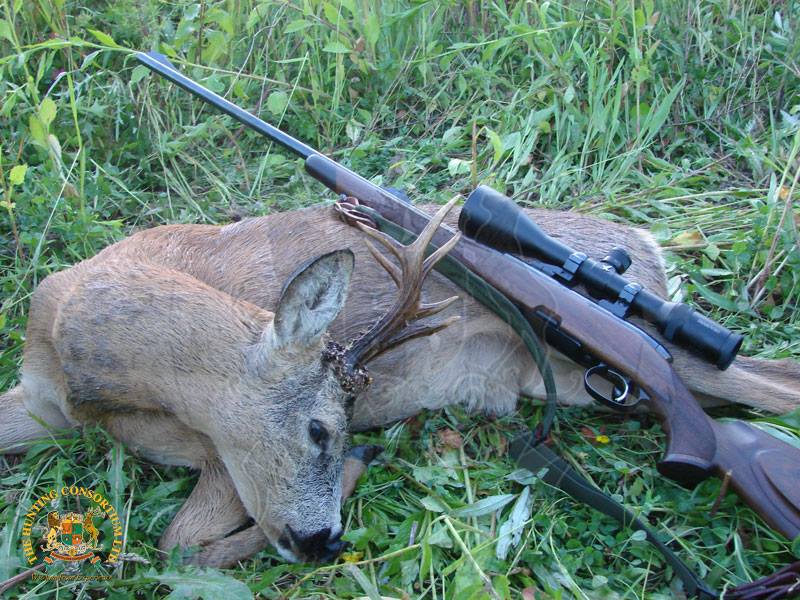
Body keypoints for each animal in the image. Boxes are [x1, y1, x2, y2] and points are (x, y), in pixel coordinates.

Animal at [2, 198, 799, 568]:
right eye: (319, 425)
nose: (322, 541)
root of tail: (651, 252)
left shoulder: (220, 456)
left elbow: (177, 544)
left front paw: (362, 465)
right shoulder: (39, 399)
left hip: (643, 361)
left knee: (772, 378)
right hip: (579, 384)